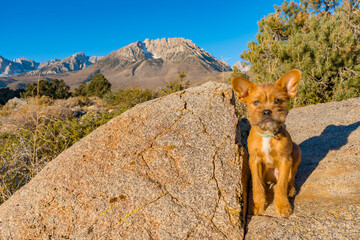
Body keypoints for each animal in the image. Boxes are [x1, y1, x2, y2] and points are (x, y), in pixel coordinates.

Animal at [232, 70, 302, 218]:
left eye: (278, 100)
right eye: (256, 102)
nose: (267, 111)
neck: (268, 134)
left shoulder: (285, 161)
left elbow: (281, 186)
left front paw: (282, 206)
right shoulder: (254, 161)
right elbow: (257, 186)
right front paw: (258, 205)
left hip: (297, 151)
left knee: (290, 179)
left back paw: (290, 189)